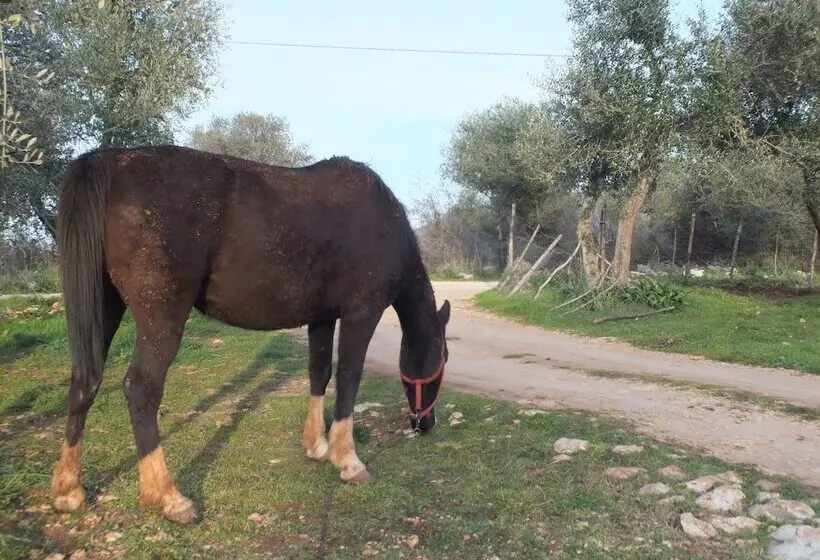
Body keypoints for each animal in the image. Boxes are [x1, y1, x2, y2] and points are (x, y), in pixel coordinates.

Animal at [50, 145, 450, 524]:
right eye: (442, 357)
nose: (427, 424)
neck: (382, 221)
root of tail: (111, 161)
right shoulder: (361, 314)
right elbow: (349, 378)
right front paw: (348, 461)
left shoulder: (322, 318)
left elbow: (319, 372)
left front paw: (316, 446)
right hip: (161, 315)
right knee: (141, 389)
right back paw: (168, 496)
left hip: (105, 305)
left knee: (85, 380)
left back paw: (69, 490)